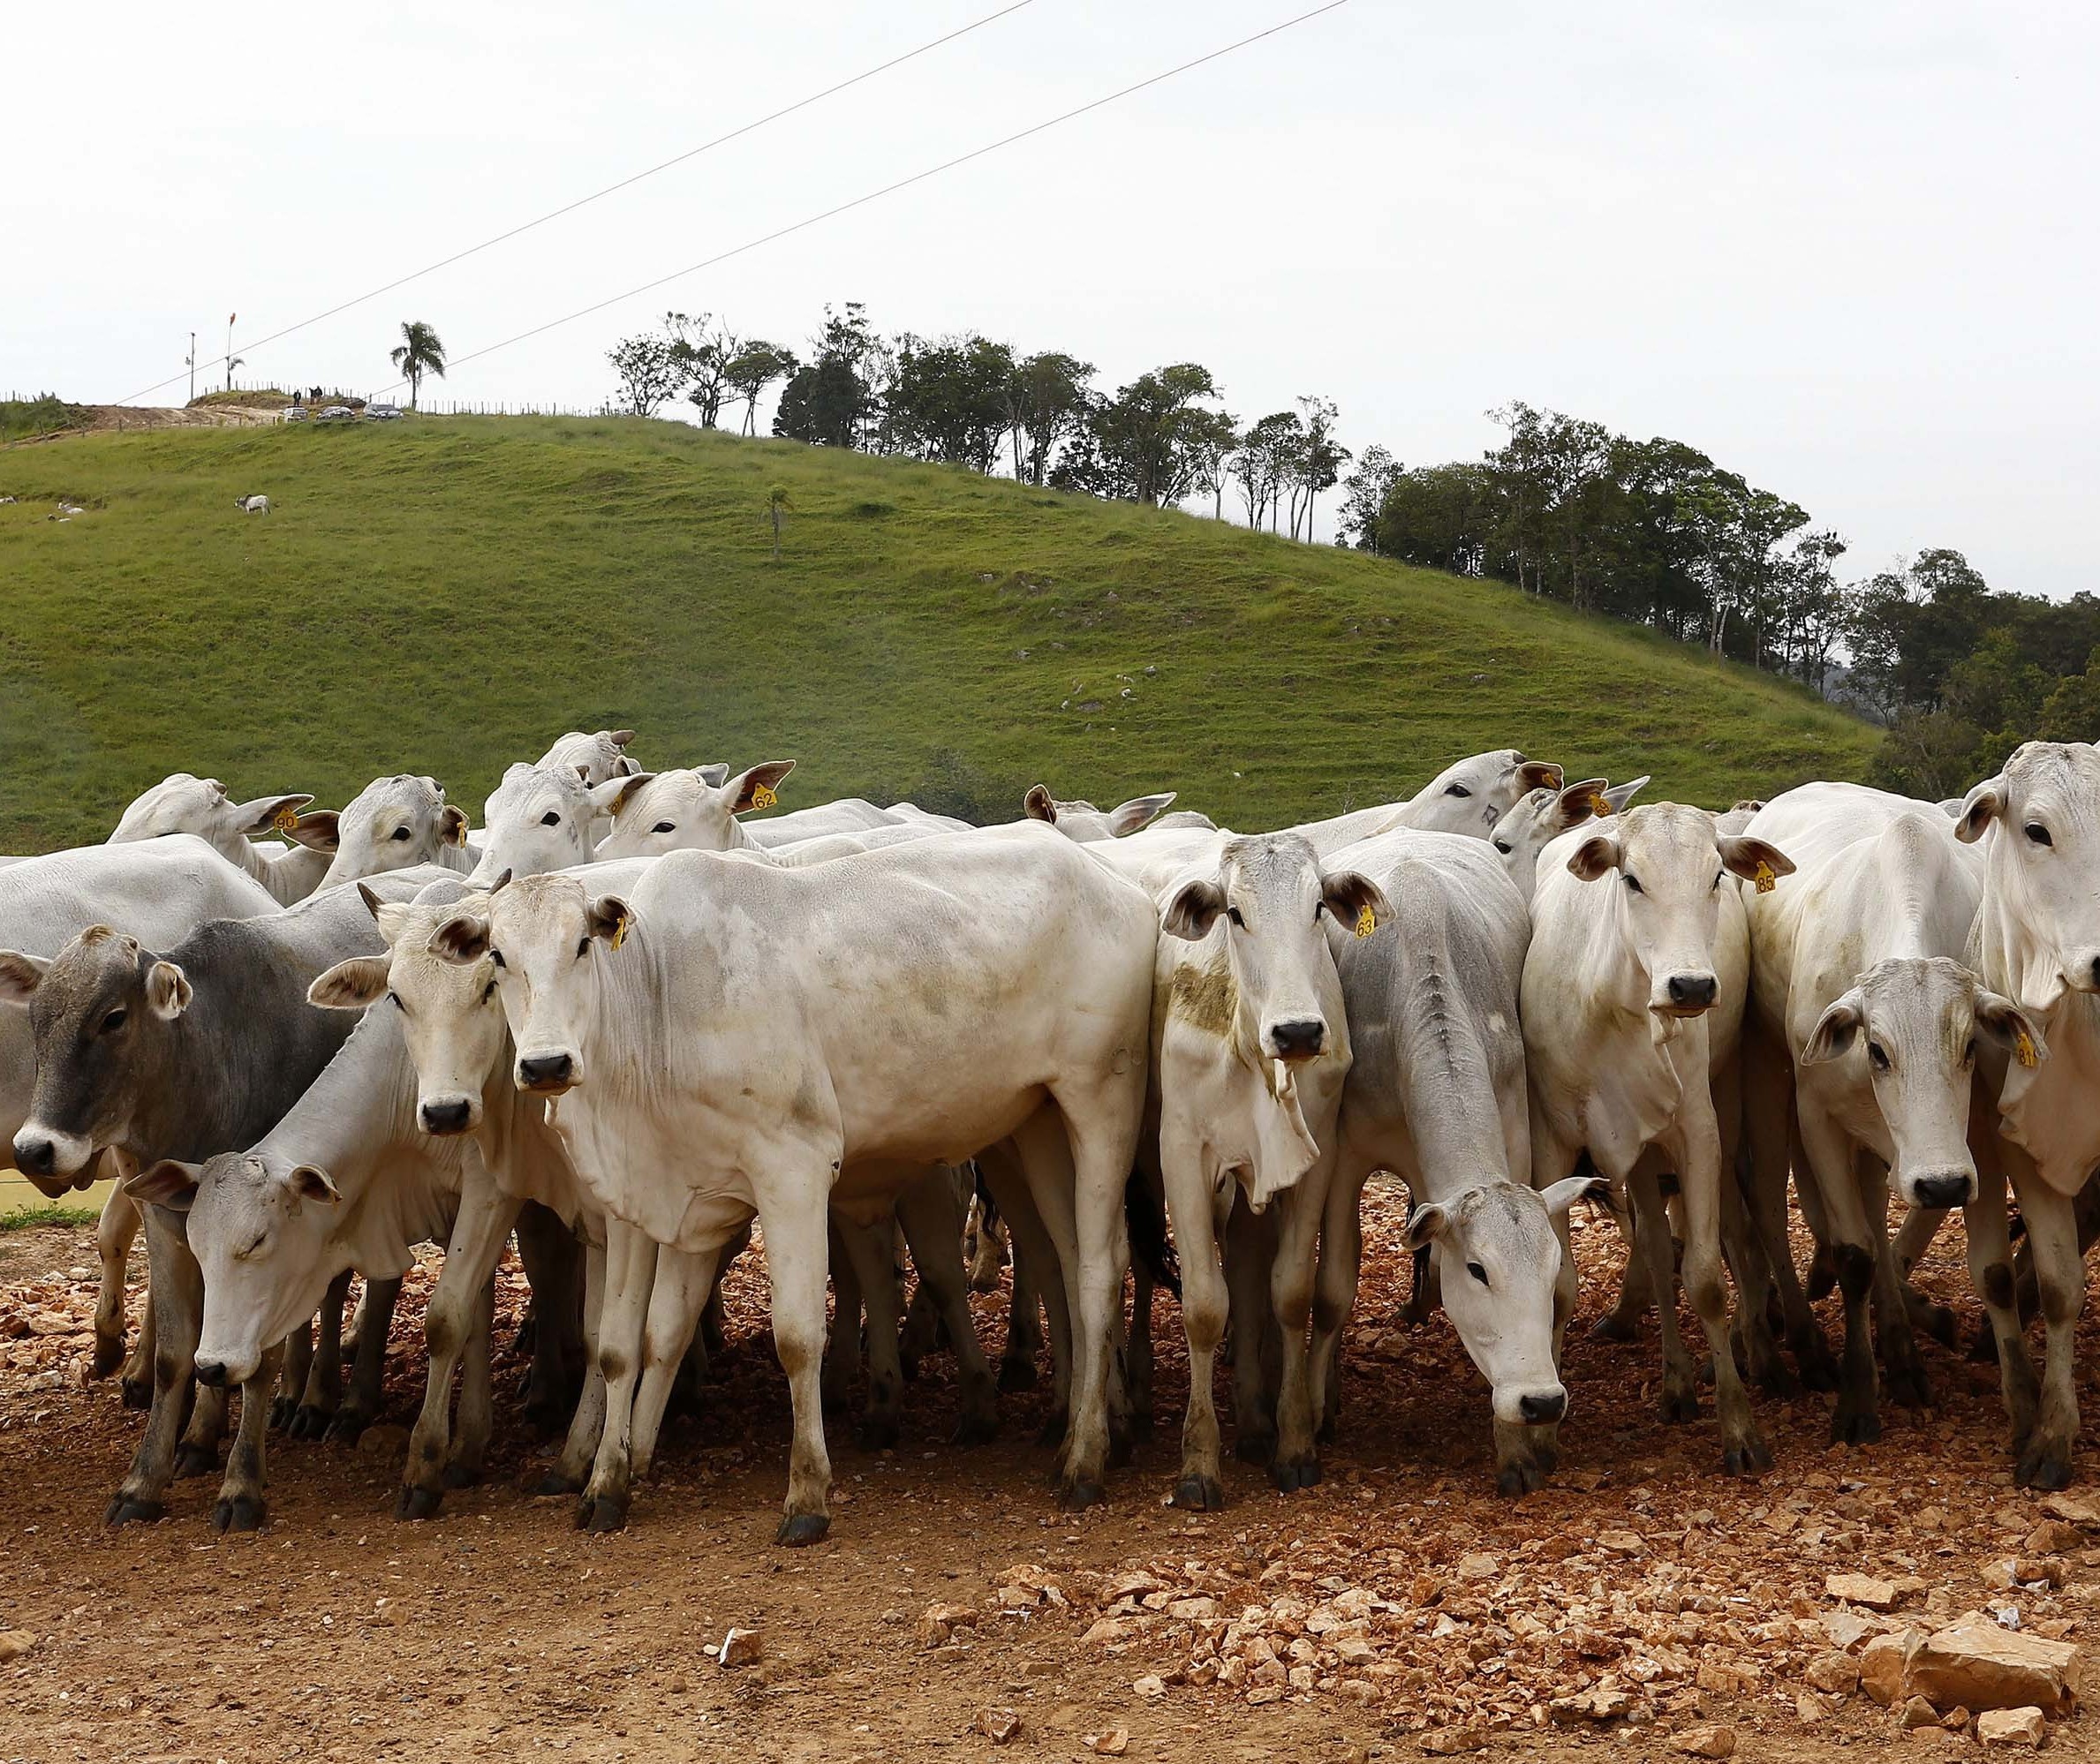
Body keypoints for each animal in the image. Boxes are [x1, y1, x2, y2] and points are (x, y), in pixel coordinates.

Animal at [421, 823, 1151, 1528]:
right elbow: (642, 1343)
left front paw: (807, 1494)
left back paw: (1086, 1459)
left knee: (1101, 1267)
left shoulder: (793, 1169)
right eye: (496, 959)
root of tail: (1110, 879)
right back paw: (1084, 1429)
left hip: (1101, 1099)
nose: (545, 1065)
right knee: (1066, 1258)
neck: (660, 1004)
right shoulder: (678, 1203)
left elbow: (798, 1337)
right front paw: (609, 1484)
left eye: (581, 945)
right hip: (1040, 1124)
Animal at [1520, 806, 1797, 1478]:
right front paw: (1542, 1436)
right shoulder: (1553, 1141)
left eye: (1717, 875)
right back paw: (1675, 1382)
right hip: (1637, 1153)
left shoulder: (1698, 1130)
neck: (1619, 1005)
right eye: (1632, 879)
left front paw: (1739, 1427)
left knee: (1719, 1235)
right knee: (1650, 1240)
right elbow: (1561, 1284)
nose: (1690, 987)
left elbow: (1705, 1277)